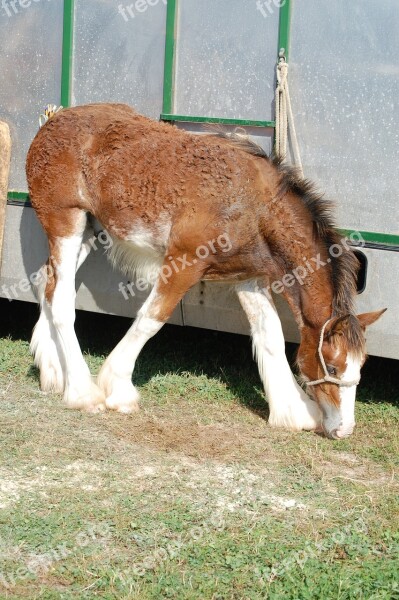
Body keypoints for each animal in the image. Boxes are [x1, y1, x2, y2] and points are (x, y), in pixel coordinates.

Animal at [25, 104, 388, 440]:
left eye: (361, 365)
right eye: (335, 367)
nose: (344, 429)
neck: (253, 205)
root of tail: (54, 118)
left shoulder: (249, 278)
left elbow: (269, 334)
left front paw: (293, 411)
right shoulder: (183, 263)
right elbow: (152, 319)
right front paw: (117, 390)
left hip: (89, 230)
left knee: (49, 283)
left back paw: (52, 371)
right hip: (66, 222)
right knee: (61, 299)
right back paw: (82, 393)